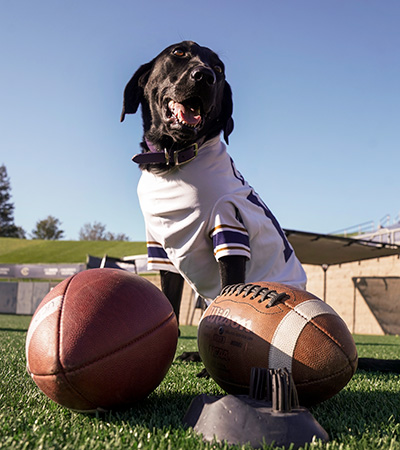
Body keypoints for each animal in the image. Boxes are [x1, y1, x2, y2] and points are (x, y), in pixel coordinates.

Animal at [121, 41, 400, 372]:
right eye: (178, 53)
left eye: (219, 69)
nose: (205, 77)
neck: (174, 161)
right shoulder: (161, 250)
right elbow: (172, 309)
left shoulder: (228, 230)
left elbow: (226, 295)